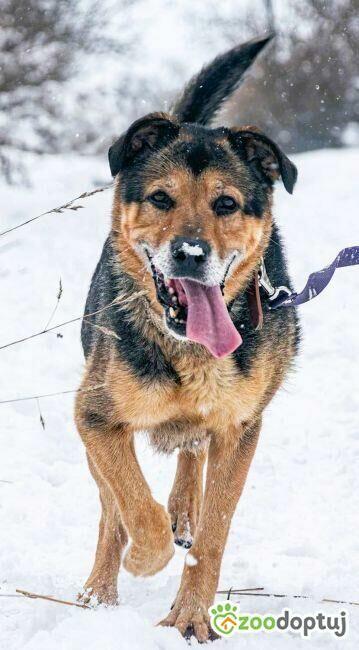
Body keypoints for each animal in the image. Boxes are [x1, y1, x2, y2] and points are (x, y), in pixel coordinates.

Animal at [75, 35, 300, 636]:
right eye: (160, 198)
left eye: (226, 204)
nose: (191, 254)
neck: (188, 350)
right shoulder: (95, 417)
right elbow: (131, 506)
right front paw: (141, 557)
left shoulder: (240, 428)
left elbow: (214, 533)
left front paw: (192, 616)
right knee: (110, 510)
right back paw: (98, 594)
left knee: (190, 460)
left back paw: (182, 510)